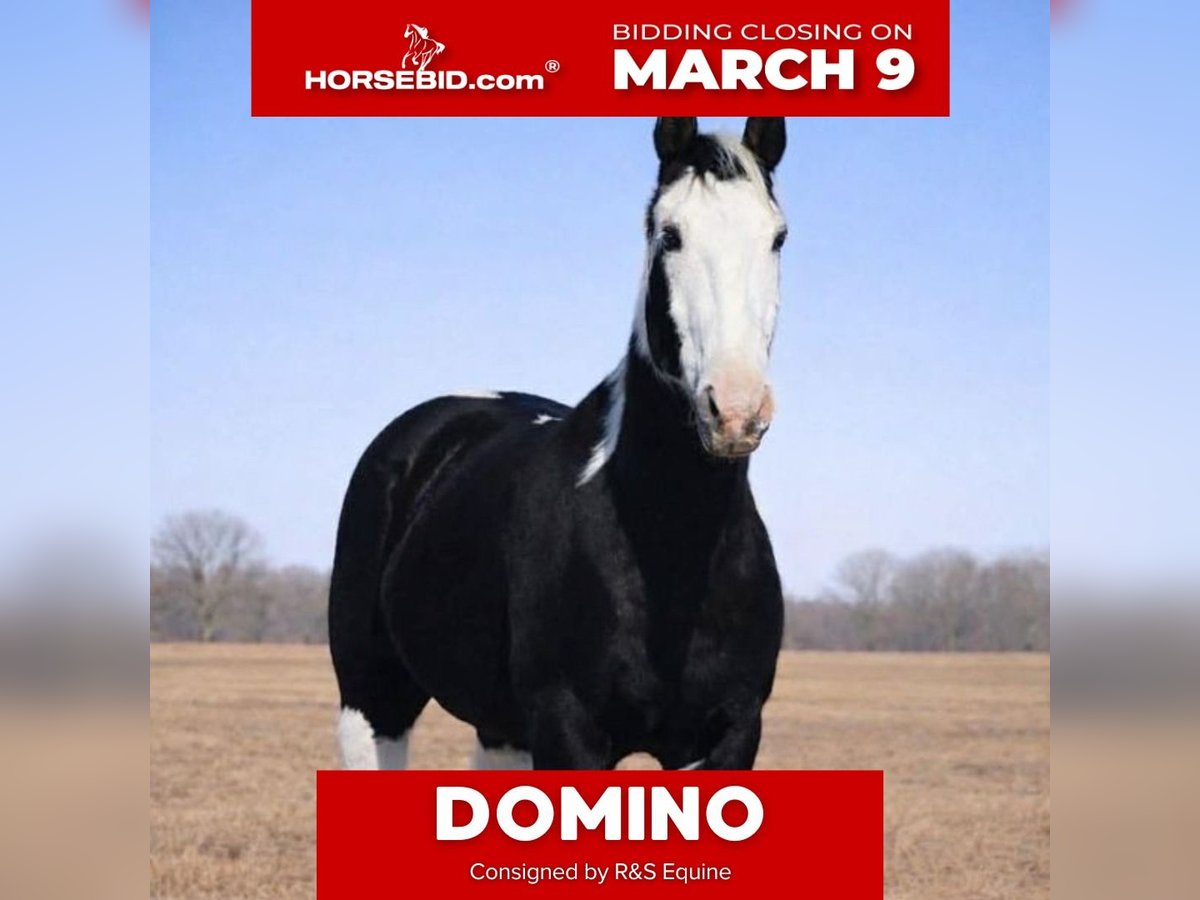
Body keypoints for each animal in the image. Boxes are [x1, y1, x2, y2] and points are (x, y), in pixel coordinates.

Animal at [330, 117, 789, 771]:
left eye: (777, 237)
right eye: (669, 234)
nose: (736, 409)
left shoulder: (728, 735)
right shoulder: (567, 730)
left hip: (500, 728)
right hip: (372, 701)